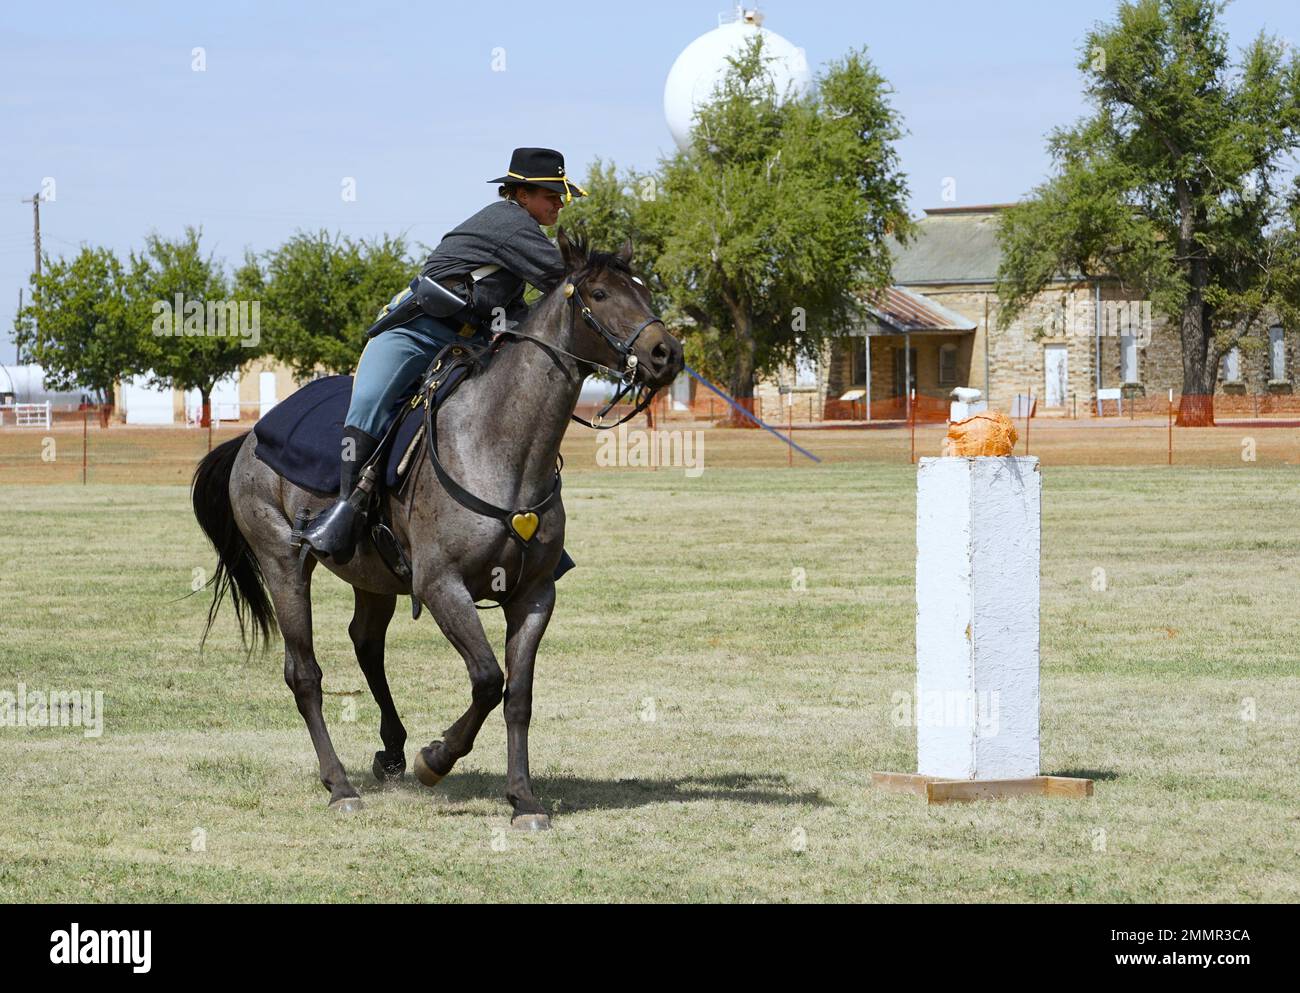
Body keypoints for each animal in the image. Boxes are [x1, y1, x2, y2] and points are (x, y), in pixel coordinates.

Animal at [191, 232, 686, 831]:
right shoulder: (442, 587)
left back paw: (391, 750)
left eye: (645, 290)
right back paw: (341, 786)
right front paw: (437, 759)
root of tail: (249, 438)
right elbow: (487, 679)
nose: (667, 354)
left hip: (372, 577)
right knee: (304, 673)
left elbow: (517, 695)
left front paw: (523, 799)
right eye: (599, 292)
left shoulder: (534, 595)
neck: (499, 447)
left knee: (366, 643)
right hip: (283, 564)